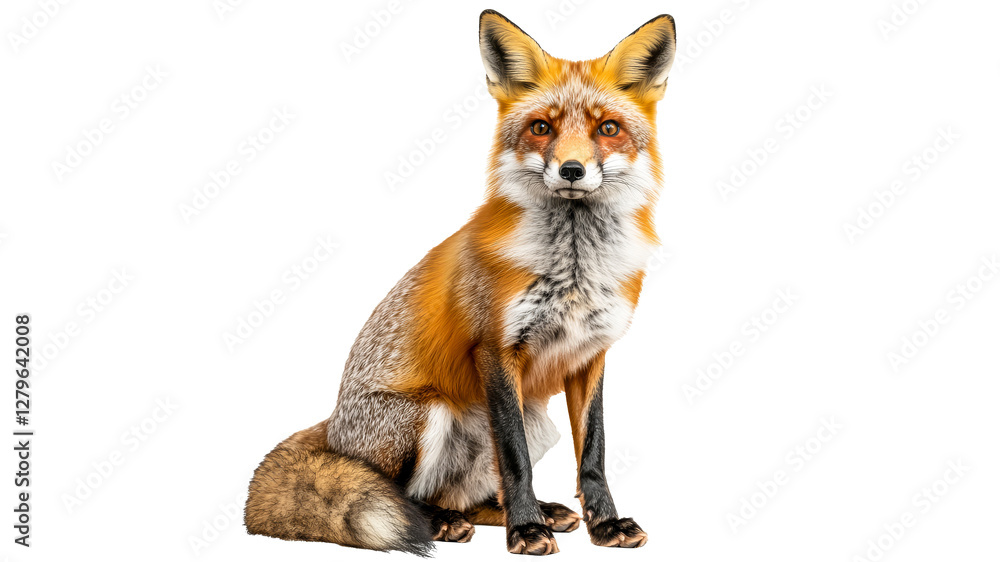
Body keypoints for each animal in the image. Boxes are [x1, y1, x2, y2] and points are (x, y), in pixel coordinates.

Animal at [244, 9, 676, 556]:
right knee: (405, 498)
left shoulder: (590, 355)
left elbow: (593, 453)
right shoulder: (495, 348)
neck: (574, 268)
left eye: (608, 129)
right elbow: (514, 459)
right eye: (541, 128)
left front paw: (604, 525)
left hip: (539, 424)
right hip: (427, 416)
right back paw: (445, 523)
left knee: (470, 498)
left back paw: (531, 513)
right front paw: (525, 530)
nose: (572, 170)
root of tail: (331, 428)